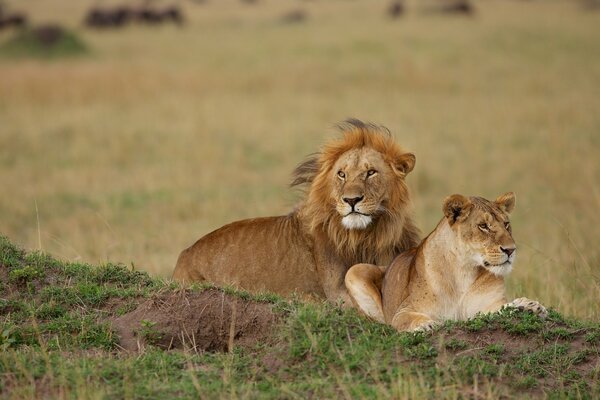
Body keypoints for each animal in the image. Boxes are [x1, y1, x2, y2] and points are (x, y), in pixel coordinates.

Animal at [171, 119, 420, 304]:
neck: (370, 236)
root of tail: (184, 255)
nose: (351, 200)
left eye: (371, 172)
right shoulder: (337, 290)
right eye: (341, 174)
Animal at [344, 191, 548, 332]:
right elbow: (409, 319)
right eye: (483, 226)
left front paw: (529, 306)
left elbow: (503, 307)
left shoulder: (486, 307)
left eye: (506, 224)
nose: (510, 250)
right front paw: (425, 325)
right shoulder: (403, 311)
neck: (464, 270)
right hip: (355, 270)